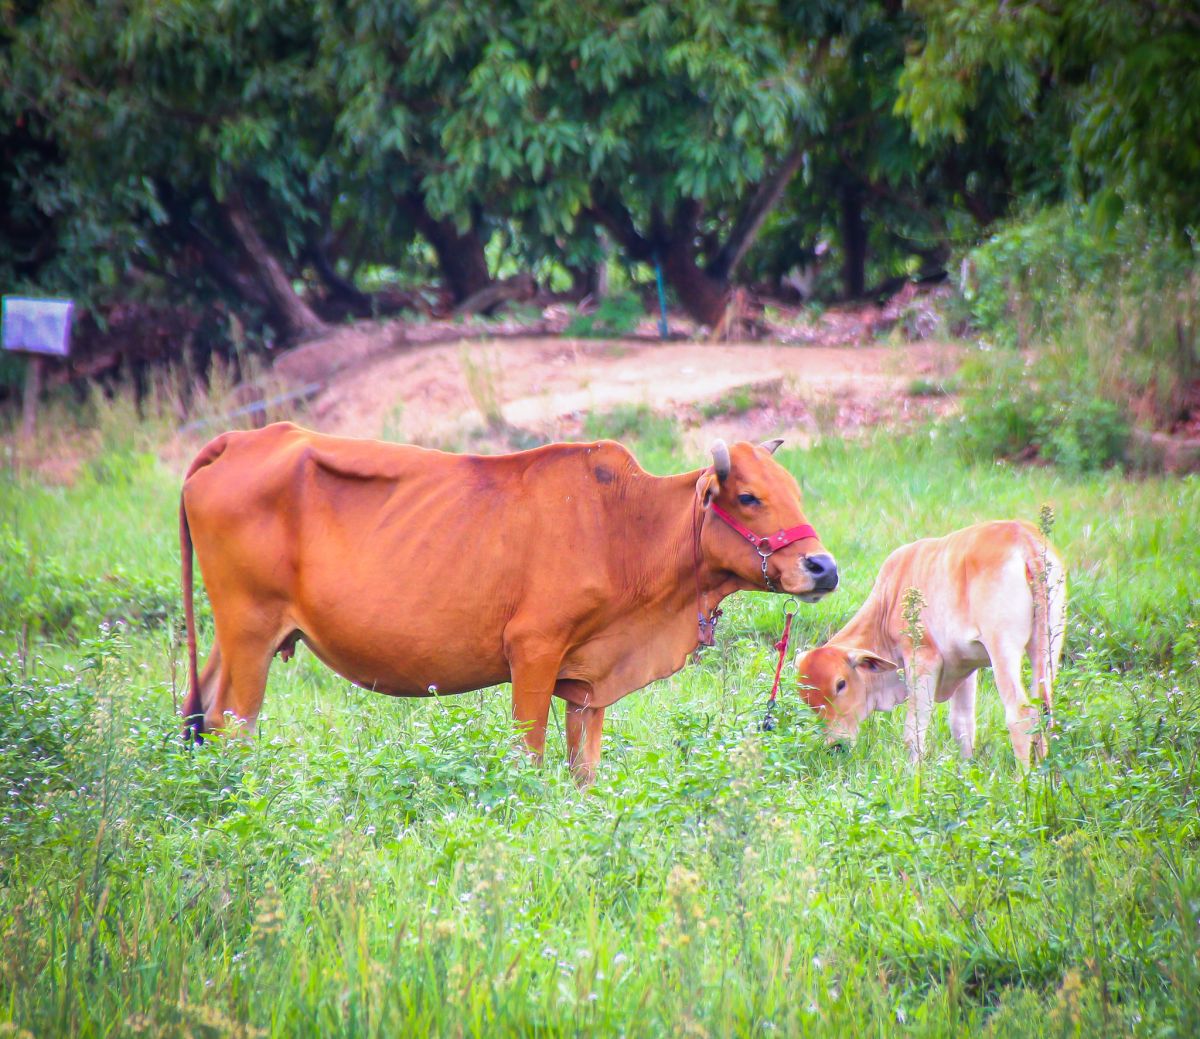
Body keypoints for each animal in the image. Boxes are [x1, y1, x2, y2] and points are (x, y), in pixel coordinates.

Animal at [179, 423, 839, 782]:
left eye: (794, 490)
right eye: (749, 497)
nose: (824, 568)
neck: (625, 527)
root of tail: (243, 438)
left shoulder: (589, 682)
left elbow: (584, 770)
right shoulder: (533, 651)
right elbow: (530, 756)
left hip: (233, 637)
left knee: (202, 712)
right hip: (250, 632)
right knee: (232, 728)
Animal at [792, 520, 1066, 767]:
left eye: (841, 684)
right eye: (807, 700)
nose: (835, 746)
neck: (890, 598)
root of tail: (1023, 538)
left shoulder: (924, 659)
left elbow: (913, 731)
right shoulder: (968, 664)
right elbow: (962, 726)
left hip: (1002, 648)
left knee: (1020, 713)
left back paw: (1025, 781)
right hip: (1048, 646)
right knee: (1043, 709)